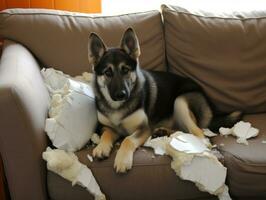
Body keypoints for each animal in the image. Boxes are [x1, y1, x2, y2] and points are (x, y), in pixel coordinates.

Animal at [88, 27, 241, 173]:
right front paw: (101, 147)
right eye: (108, 72)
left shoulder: (144, 129)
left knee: (199, 133)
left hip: (180, 101)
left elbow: (127, 140)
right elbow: (106, 134)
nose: (122, 95)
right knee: (182, 130)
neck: (117, 106)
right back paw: (163, 132)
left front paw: (122, 160)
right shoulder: (107, 127)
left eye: (125, 70)